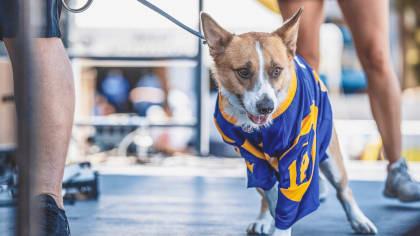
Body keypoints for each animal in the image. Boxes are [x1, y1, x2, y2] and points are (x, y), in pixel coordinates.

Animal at [200, 8, 378, 236]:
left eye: (276, 70)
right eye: (243, 72)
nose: (266, 107)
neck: (263, 129)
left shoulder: (298, 153)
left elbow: (290, 198)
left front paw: (282, 227)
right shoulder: (253, 159)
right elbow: (271, 195)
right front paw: (272, 218)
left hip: (331, 157)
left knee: (343, 189)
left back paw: (359, 219)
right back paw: (263, 219)